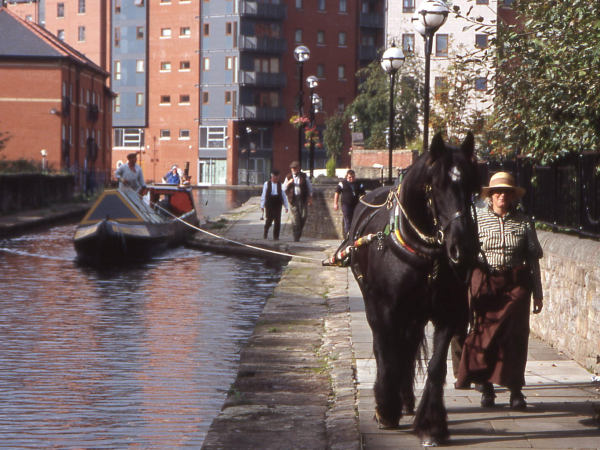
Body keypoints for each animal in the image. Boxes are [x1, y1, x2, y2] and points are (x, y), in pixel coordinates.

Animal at [346, 132, 478, 444]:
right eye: (437, 185)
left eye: (471, 185)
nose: (463, 249)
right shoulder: (386, 309)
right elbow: (387, 352)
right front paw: (385, 409)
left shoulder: (447, 313)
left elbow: (436, 366)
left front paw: (431, 425)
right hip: (376, 305)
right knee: (387, 347)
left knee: (407, 346)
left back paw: (406, 398)